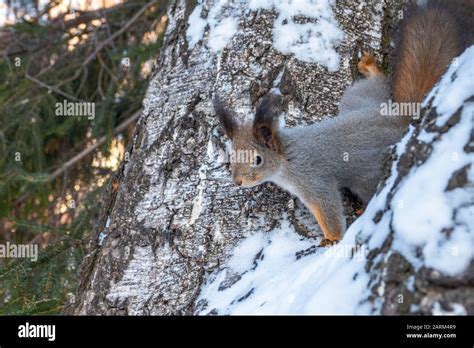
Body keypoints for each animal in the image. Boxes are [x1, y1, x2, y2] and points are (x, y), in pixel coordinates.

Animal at [214, 0, 470, 245]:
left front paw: (331, 239)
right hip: (357, 100)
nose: (237, 181)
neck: (287, 157)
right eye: (232, 156)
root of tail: (400, 119)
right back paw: (369, 67)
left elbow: (329, 209)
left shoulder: (313, 180)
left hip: (368, 175)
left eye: (257, 159)